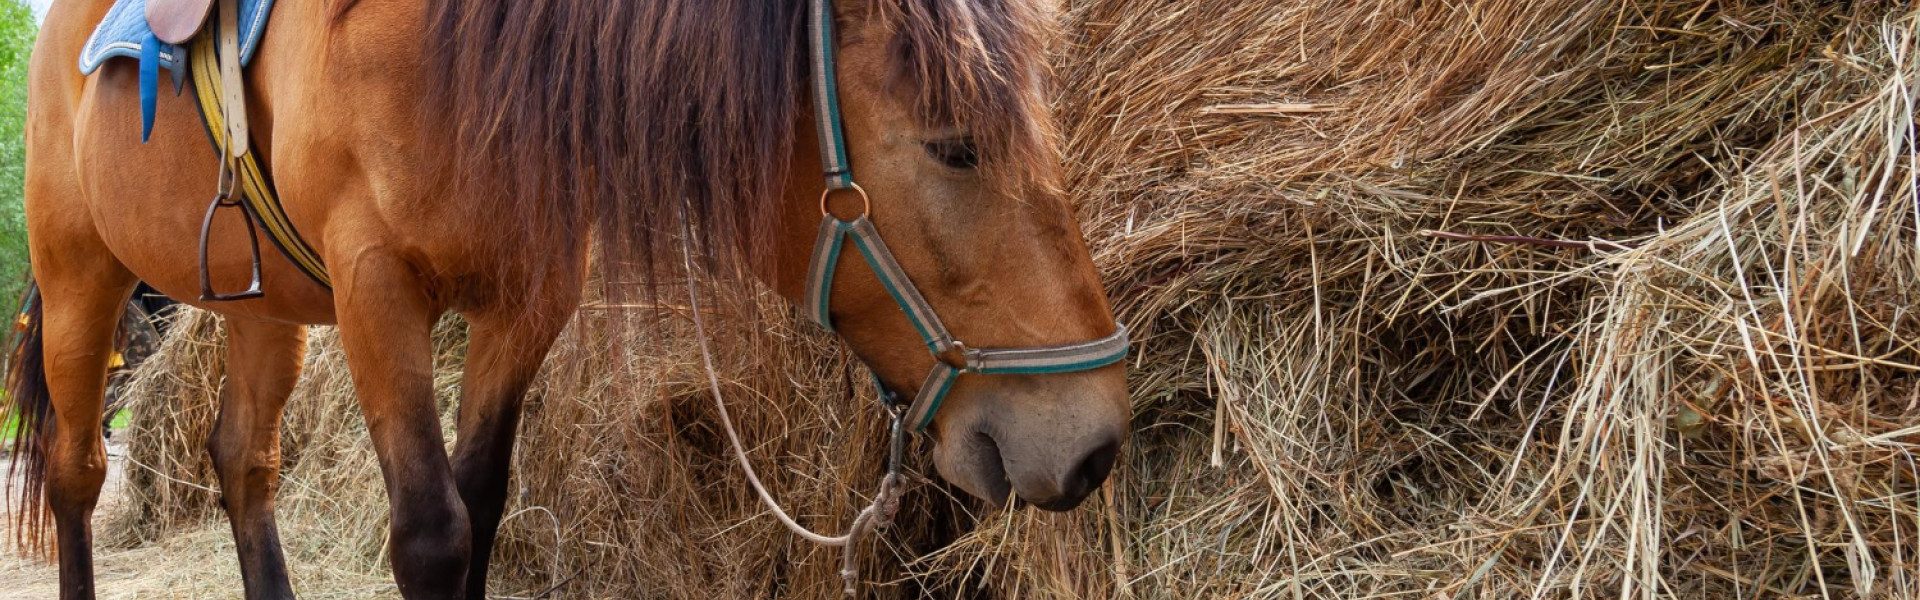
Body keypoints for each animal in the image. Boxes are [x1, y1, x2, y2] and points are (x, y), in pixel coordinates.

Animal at [8, 0, 1130, 598]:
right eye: (955, 146)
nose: (1094, 440)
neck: (443, 51)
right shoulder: (376, 291)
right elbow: (431, 533)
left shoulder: (524, 303)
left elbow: (480, 508)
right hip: (81, 277)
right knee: (76, 470)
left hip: (260, 307)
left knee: (244, 461)